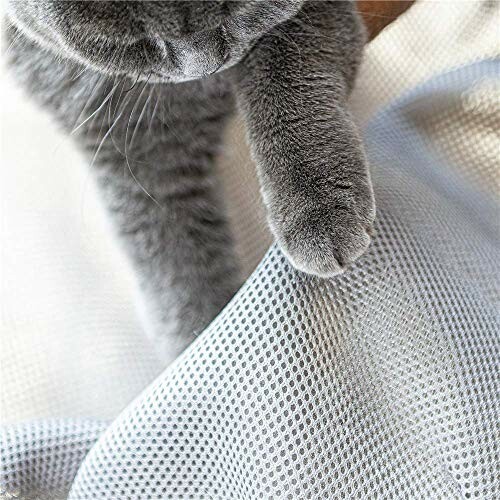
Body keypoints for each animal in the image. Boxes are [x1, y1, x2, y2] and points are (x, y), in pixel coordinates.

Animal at [4, 0, 376, 360]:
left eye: (239, 9)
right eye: (132, 41)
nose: (206, 65)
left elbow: (286, 75)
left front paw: (319, 212)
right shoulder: (130, 140)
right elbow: (171, 256)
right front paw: (206, 345)